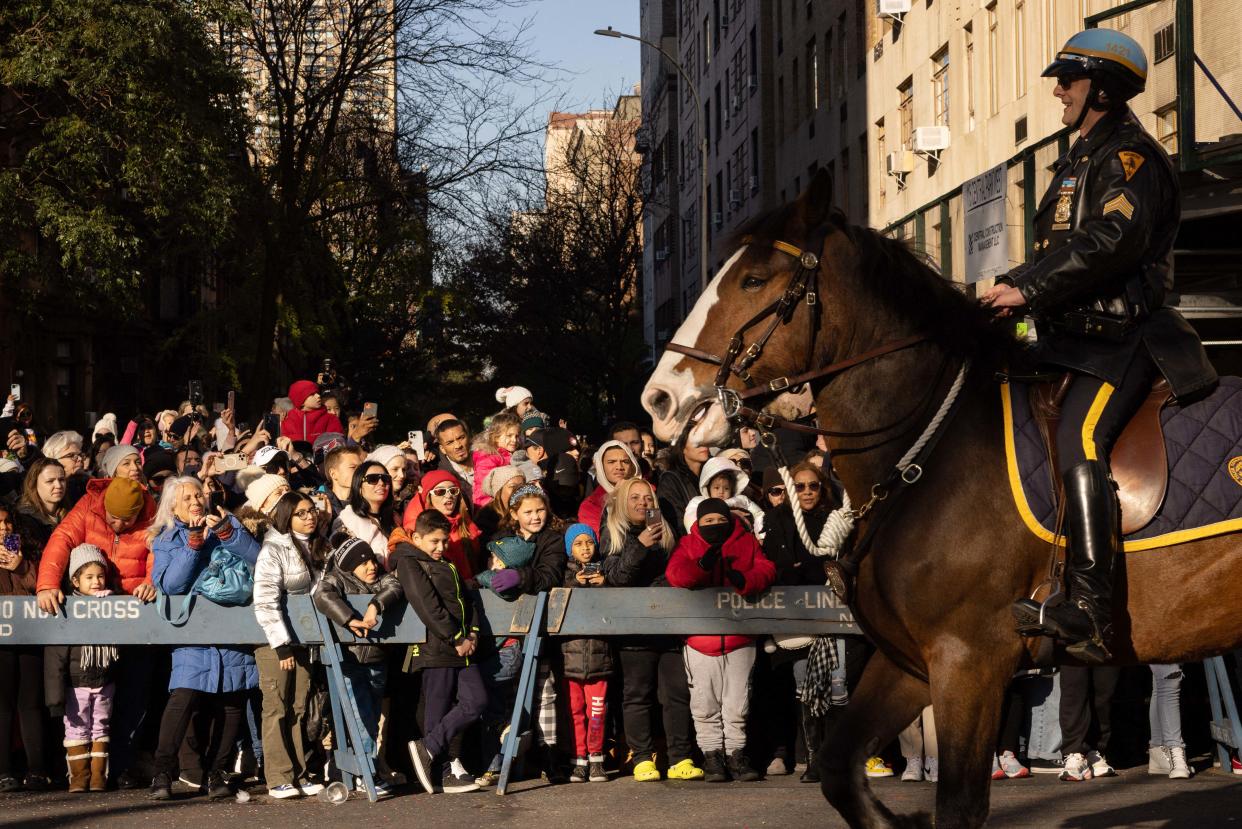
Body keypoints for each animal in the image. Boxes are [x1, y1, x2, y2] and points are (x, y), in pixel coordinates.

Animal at [640, 170, 1242, 829]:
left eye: (753, 279)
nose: (659, 399)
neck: (926, 449)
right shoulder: (912, 662)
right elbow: (839, 769)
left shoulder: (968, 661)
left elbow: (955, 806)